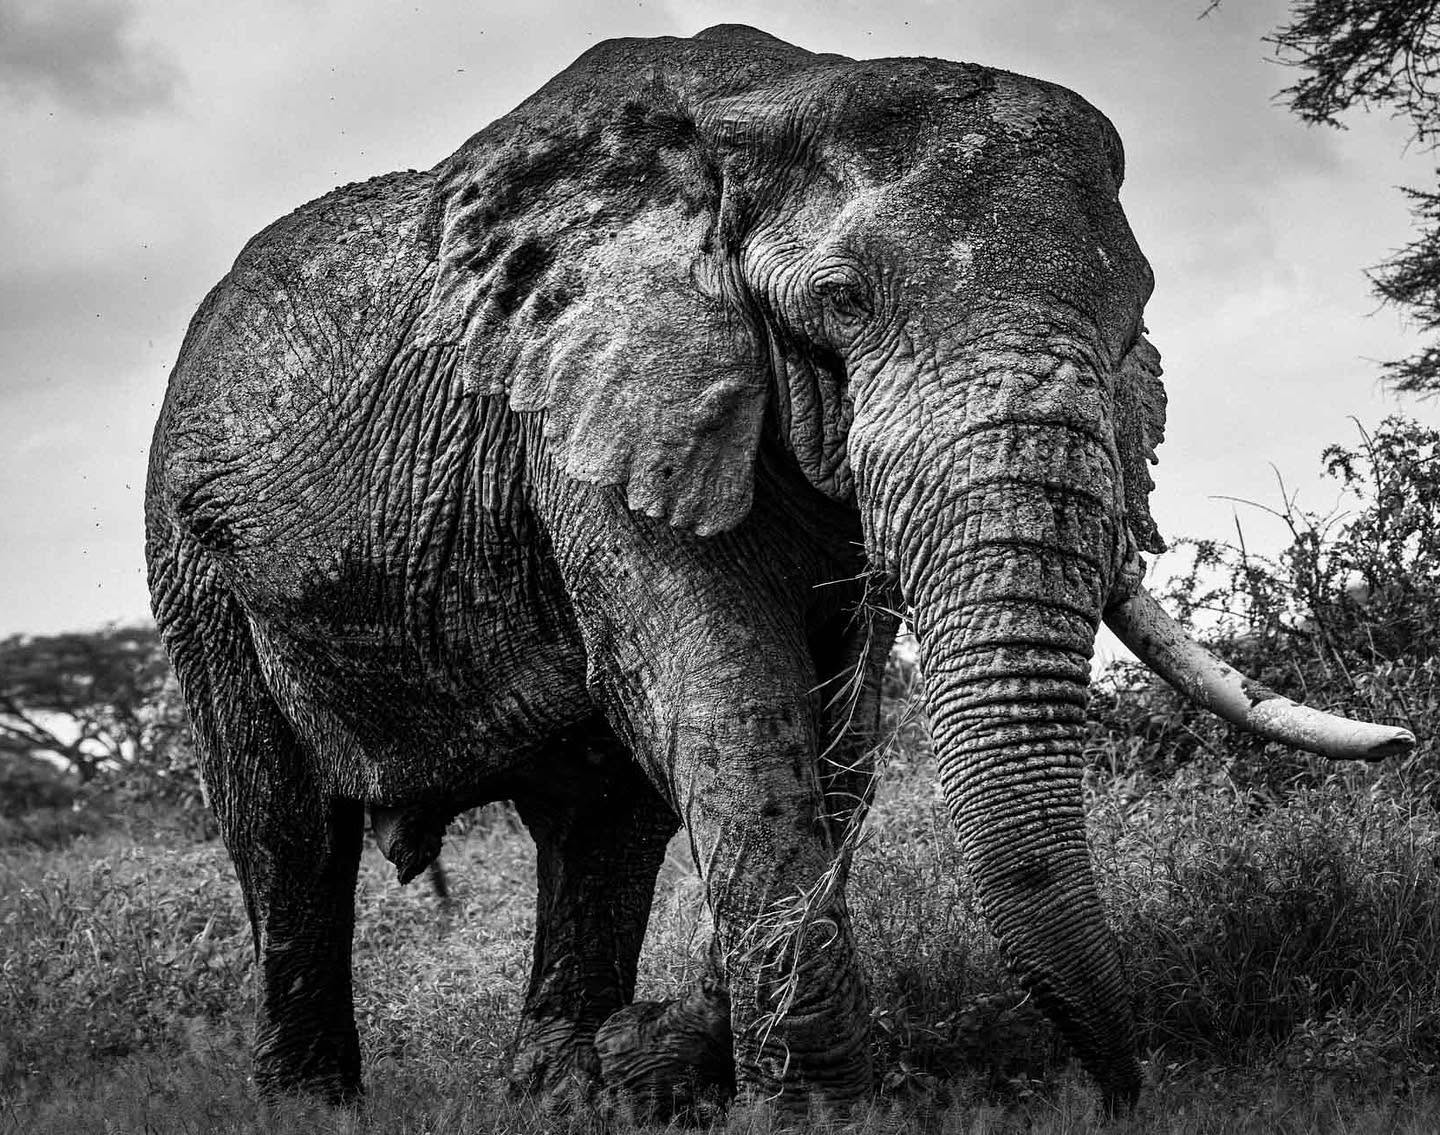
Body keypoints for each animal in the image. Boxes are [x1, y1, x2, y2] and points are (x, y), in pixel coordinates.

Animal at [144, 24, 1414, 1116]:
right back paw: (315, 1102)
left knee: (598, 825)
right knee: (288, 832)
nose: (1120, 1095)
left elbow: (833, 731)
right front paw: (813, 1106)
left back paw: (562, 1088)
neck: (769, 106)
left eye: (1134, 315)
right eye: (842, 302)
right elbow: (729, 697)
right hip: (192, 554)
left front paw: (675, 1062)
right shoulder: (597, 398)